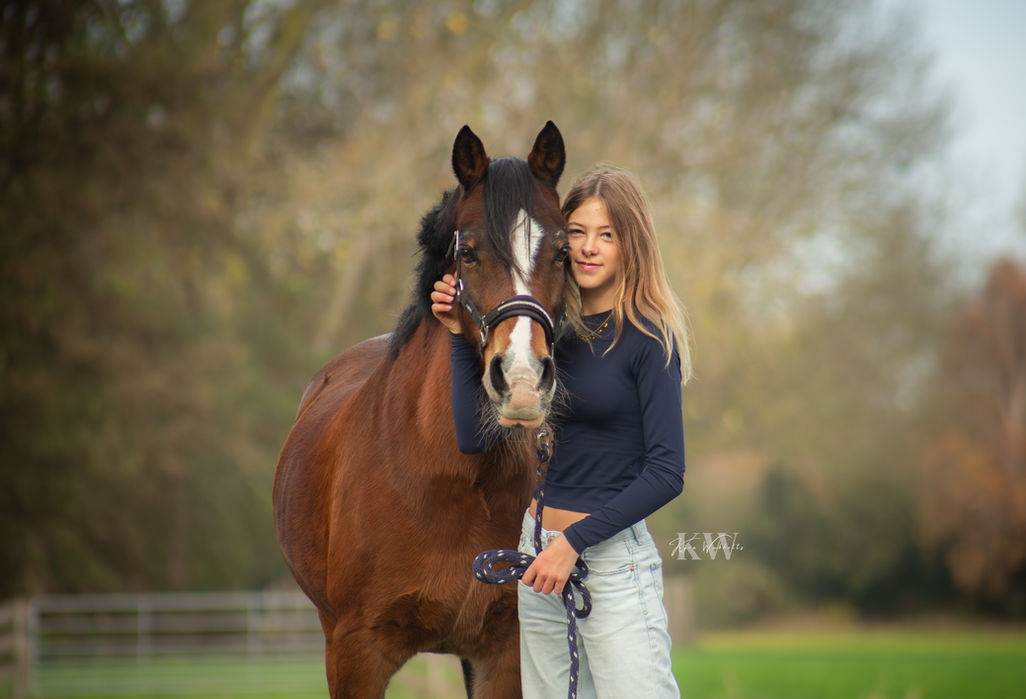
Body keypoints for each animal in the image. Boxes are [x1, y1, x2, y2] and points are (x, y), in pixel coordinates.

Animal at [273, 122, 568, 698]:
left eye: (564, 253)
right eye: (469, 253)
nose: (522, 380)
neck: (451, 475)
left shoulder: (504, 653)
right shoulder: (356, 652)